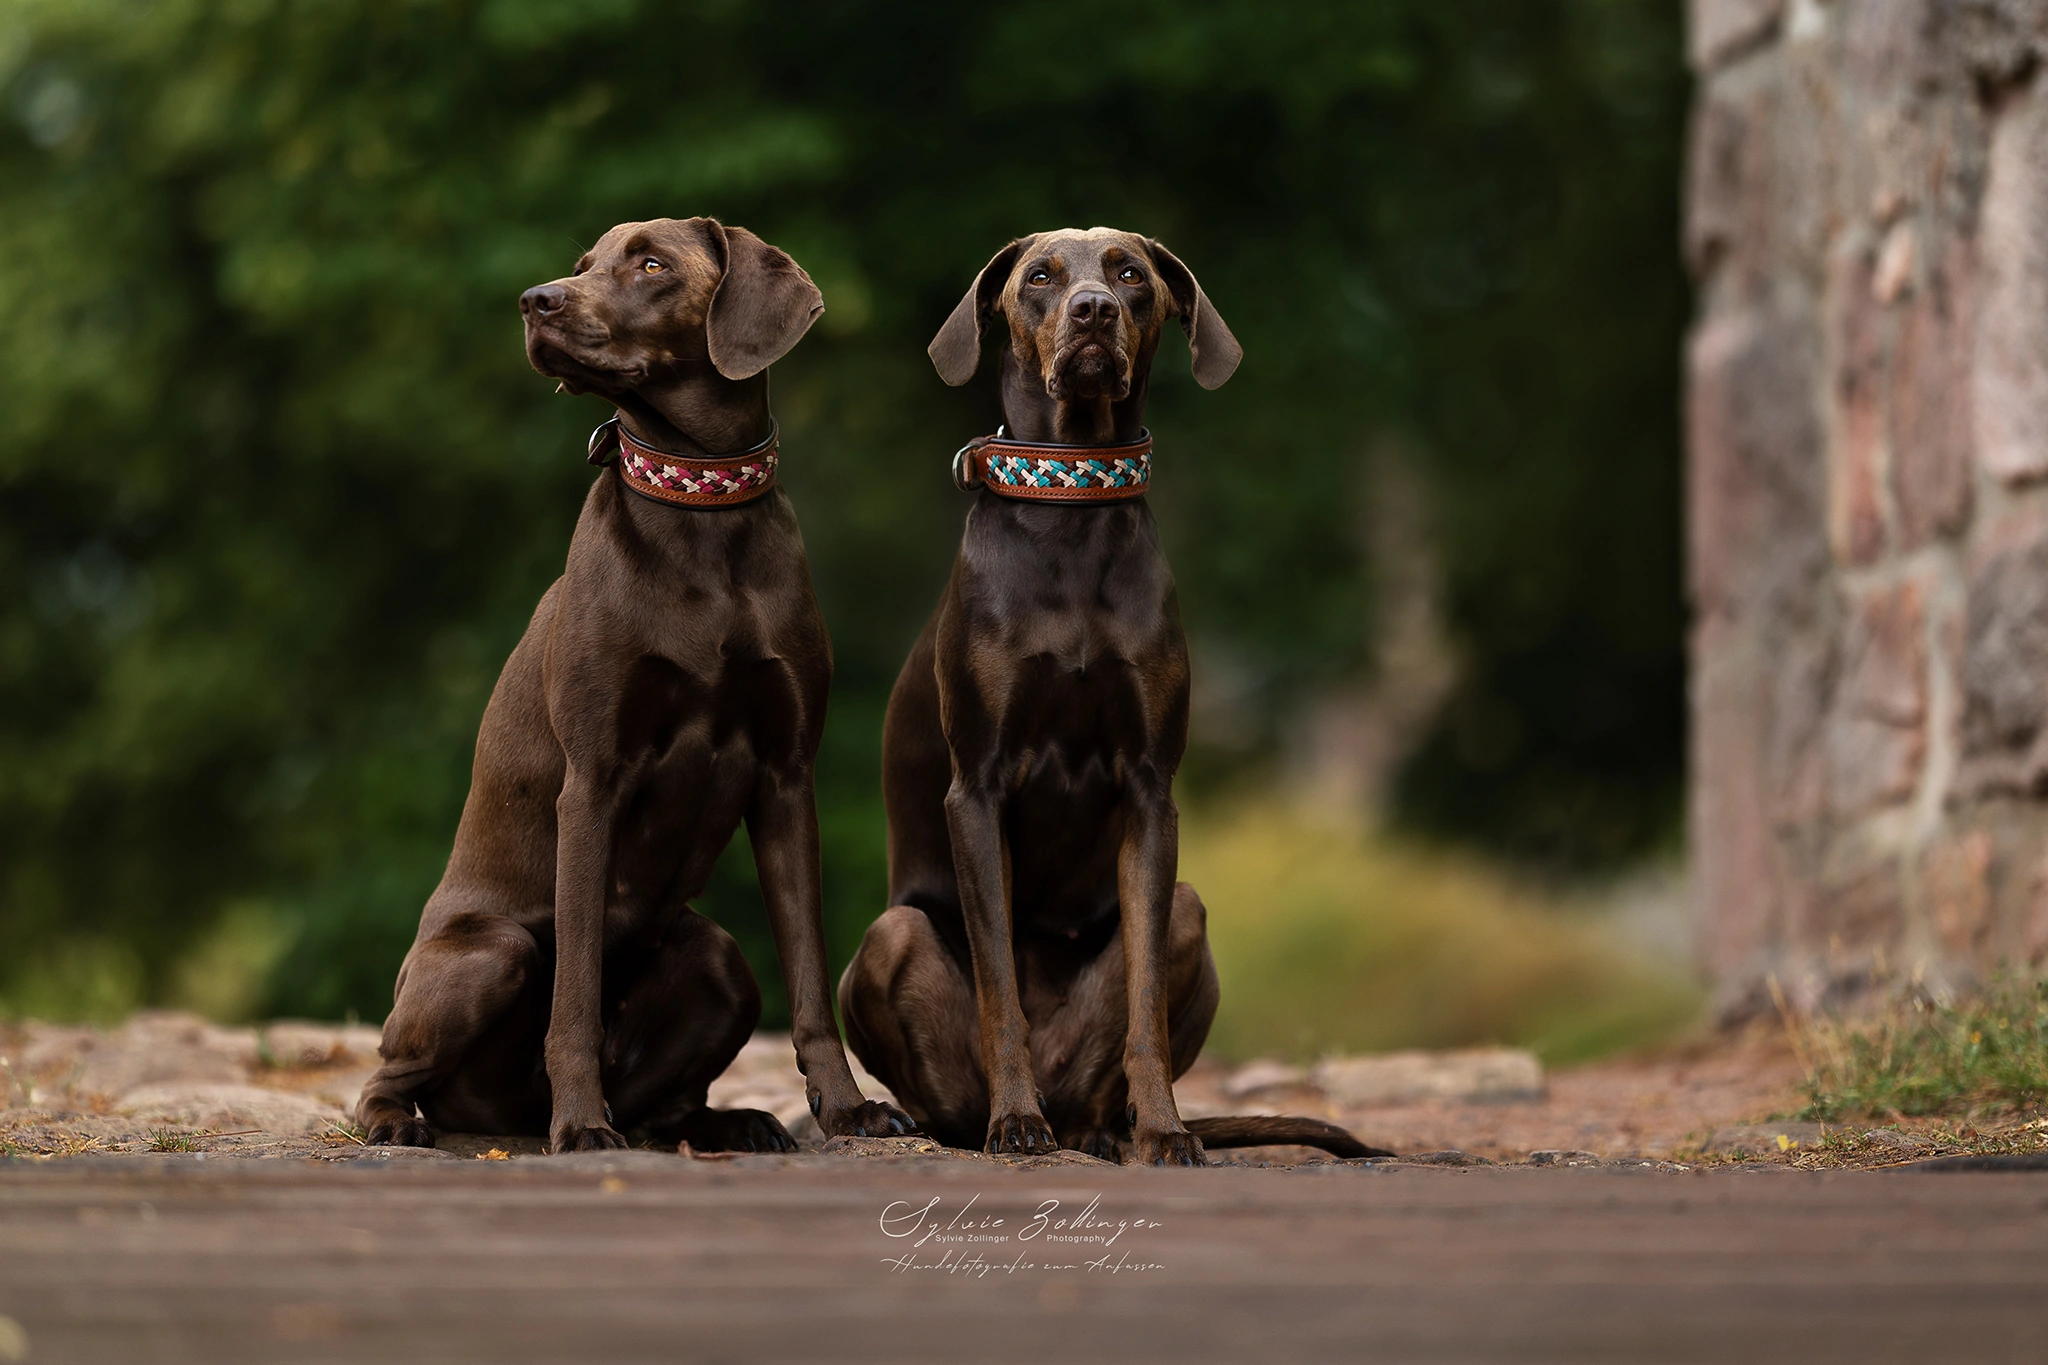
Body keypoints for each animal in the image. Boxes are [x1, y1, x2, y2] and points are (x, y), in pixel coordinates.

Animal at [835, 232, 1392, 1162]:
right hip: (894, 937)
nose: (1093, 310)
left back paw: (1107, 1129)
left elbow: (1144, 1009)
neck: (1075, 504)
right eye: (1039, 278)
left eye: (1131, 274)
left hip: (1188, 918)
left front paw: (1166, 1128)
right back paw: (977, 1117)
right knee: (950, 1074)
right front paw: (1014, 1120)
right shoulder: (977, 789)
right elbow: (1000, 989)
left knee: (1114, 1057)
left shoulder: (1149, 791)